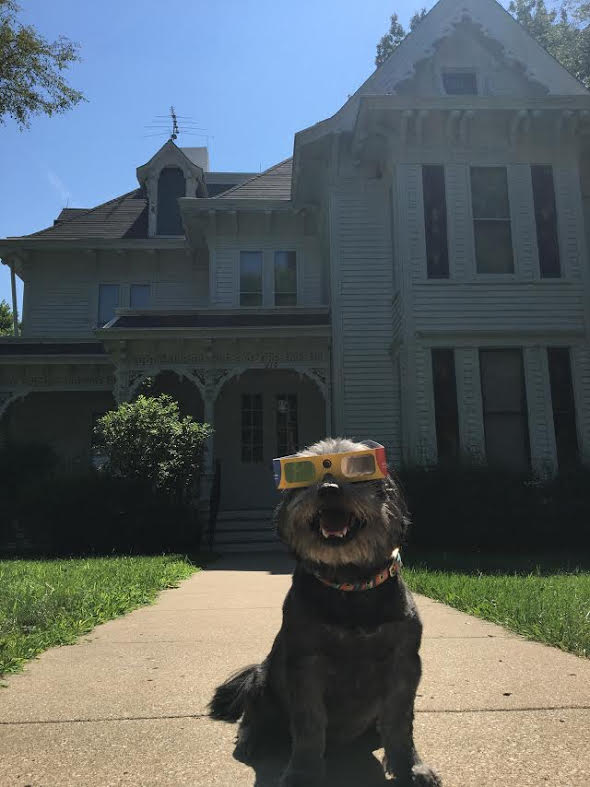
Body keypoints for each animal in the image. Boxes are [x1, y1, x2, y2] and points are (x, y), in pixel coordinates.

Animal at [210, 440, 442, 784]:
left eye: (358, 469)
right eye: (304, 473)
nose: (329, 489)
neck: (348, 584)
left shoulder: (404, 662)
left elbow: (400, 723)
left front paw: (410, 768)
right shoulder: (305, 663)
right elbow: (309, 725)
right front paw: (303, 773)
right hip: (262, 682)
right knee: (252, 718)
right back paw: (252, 740)